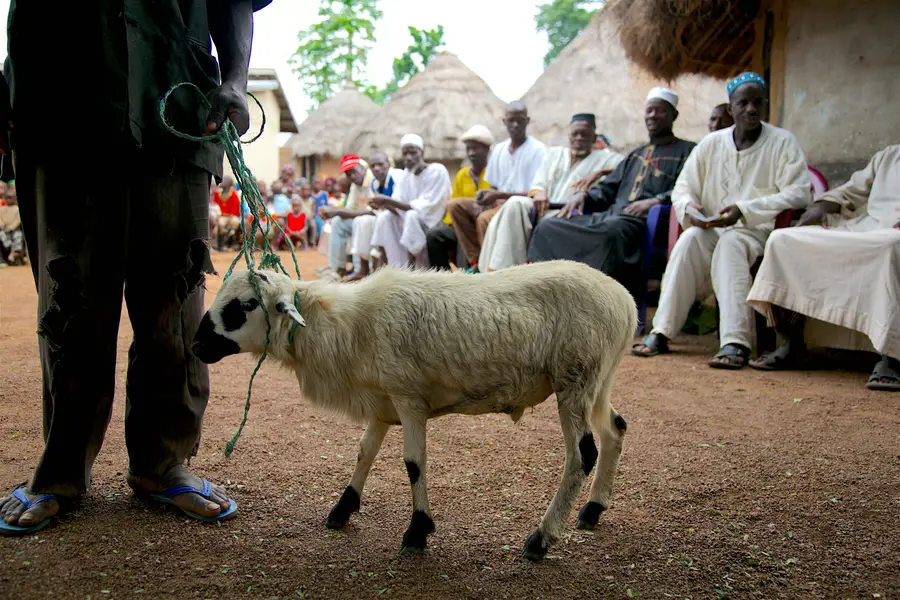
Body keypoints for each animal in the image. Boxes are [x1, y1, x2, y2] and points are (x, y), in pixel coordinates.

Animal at [193, 260, 636, 560]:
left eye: (245, 305)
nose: (196, 346)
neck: (347, 328)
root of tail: (625, 300)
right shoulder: (383, 401)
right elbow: (364, 451)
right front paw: (342, 508)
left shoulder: (409, 398)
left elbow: (413, 463)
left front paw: (417, 531)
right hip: (599, 379)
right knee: (615, 429)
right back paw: (593, 510)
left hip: (575, 378)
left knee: (582, 454)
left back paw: (542, 538)